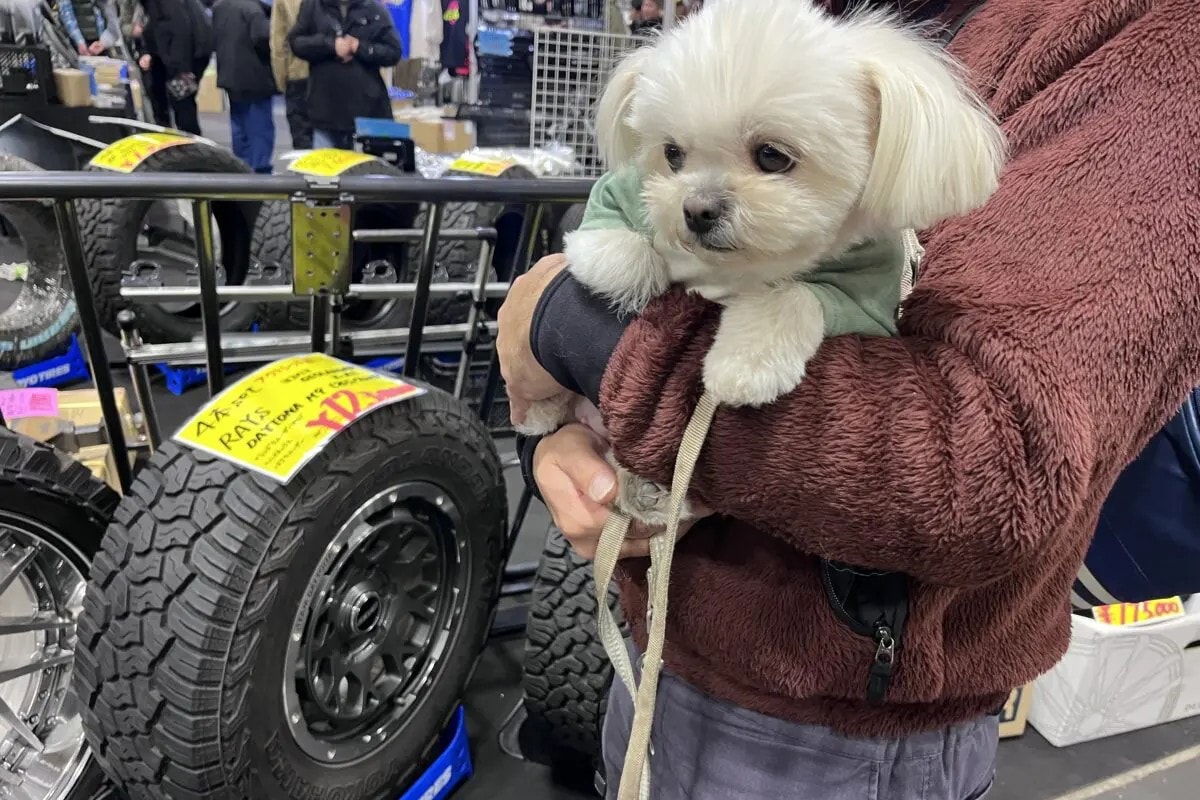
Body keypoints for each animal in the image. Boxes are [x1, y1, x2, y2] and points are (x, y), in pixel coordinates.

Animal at [516, 0, 1006, 525]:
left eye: (772, 156)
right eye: (672, 154)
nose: (696, 210)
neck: (738, 268)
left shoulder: (864, 294)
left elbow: (795, 296)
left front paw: (746, 363)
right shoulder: (622, 190)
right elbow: (610, 224)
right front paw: (622, 263)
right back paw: (543, 416)